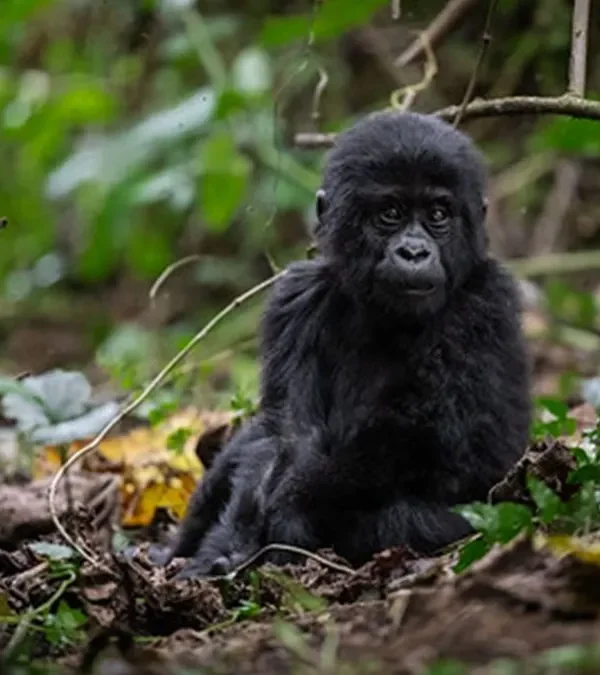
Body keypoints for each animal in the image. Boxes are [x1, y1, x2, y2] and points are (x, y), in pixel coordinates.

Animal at [167, 110, 531, 577]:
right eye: (390, 213)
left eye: (438, 214)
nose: (414, 252)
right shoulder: (296, 298)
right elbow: (285, 431)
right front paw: (230, 541)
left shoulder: (486, 304)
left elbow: (438, 434)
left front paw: (288, 506)